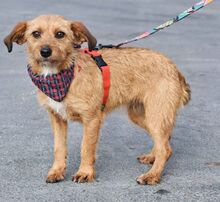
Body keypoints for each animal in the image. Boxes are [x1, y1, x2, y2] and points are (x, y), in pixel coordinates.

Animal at [3, 14, 190, 185]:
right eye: (35, 34)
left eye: (60, 34)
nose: (45, 52)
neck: (64, 75)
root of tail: (173, 67)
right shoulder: (57, 118)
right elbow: (59, 148)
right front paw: (56, 171)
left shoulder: (92, 118)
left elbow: (86, 148)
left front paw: (85, 173)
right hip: (140, 115)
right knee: (165, 142)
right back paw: (152, 157)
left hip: (155, 115)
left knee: (164, 148)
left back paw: (152, 175)